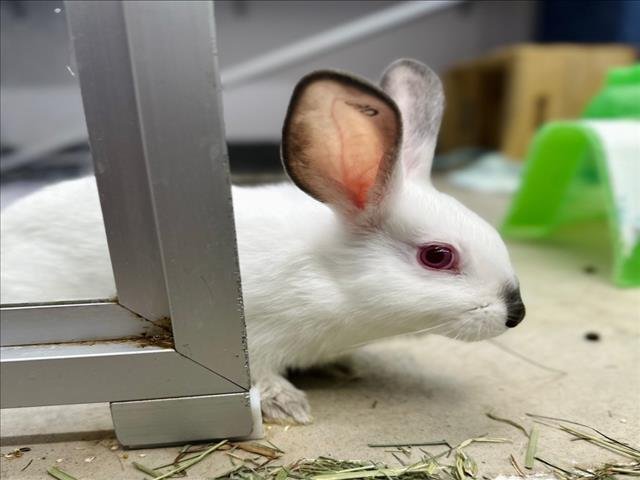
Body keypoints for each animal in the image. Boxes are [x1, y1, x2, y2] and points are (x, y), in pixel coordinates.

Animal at [1, 59, 525, 424]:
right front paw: (290, 406)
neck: (329, 279)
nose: (516, 313)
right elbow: (263, 377)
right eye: (437, 256)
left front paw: (339, 368)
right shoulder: (255, 339)